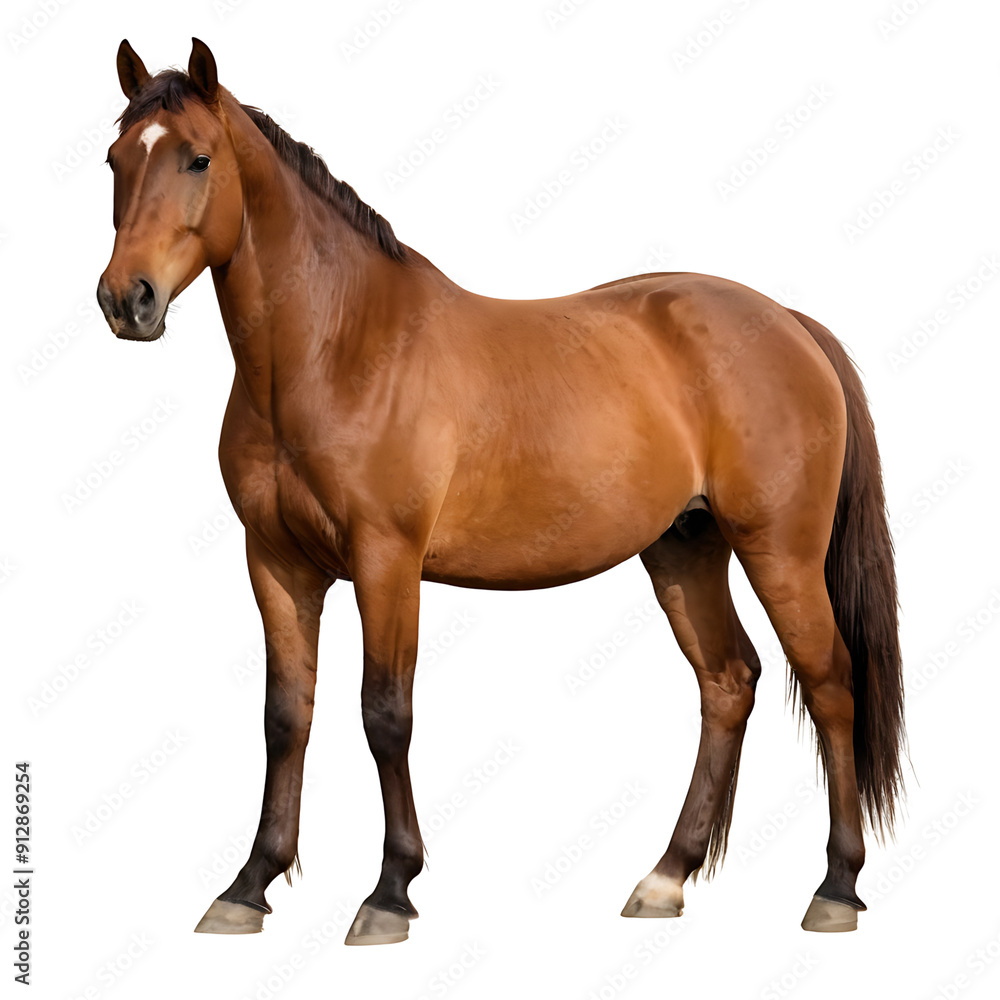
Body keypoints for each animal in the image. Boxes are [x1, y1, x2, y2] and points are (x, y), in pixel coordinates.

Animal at [97, 38, 905, 944]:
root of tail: (790, 322)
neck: (339, 345)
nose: (126, 300)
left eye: (198, 157)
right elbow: (285, 717)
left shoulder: (387, 561)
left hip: (781, 552)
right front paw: (249, 885)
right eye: (115, 160)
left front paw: (390, 891)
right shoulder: (276, 563)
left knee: (831, 683)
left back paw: (836, 886)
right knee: (729, 682)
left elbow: (386, 714)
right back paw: (666, 878)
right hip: (684, 549)